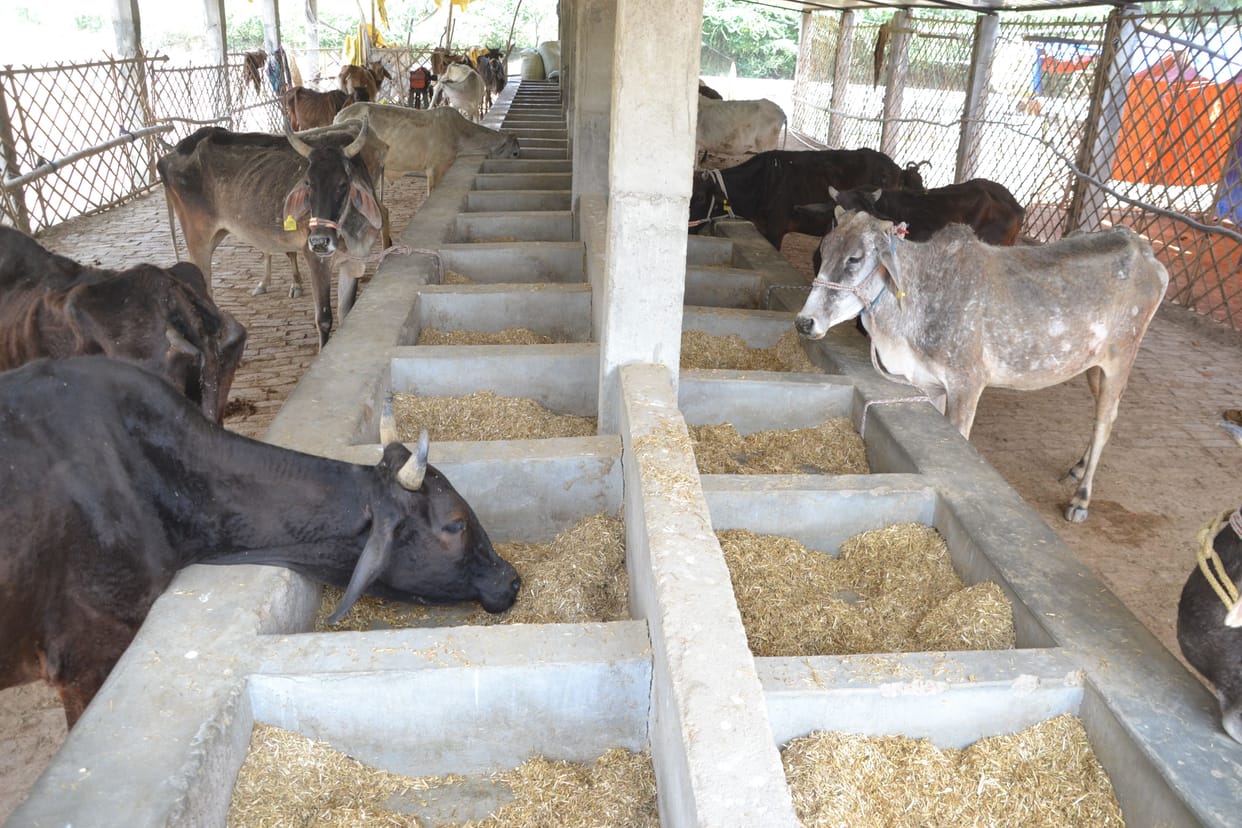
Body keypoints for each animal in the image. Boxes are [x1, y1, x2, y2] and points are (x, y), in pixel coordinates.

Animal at [157, 118, 388, 348]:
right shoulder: (316, 259)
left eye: (342, 184)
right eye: (307, 183)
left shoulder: (353, 261)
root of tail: (169, 155)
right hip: (198, 240)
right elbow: (324, 319)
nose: (319, 241)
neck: (350, 231)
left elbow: (346, 312)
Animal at [794, 210, 1168, 522]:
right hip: (1093, 366)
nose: (804, 322)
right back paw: (1078, 467)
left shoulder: (967, 384)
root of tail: (1144, 251)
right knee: (1108, 413)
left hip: (1121, 357)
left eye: (855, 258)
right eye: (824, 251)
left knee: (1105, 421)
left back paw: (1081, 499)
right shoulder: (928, 384)